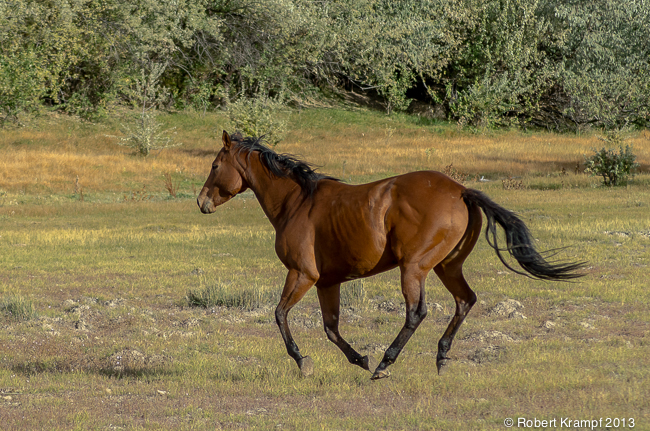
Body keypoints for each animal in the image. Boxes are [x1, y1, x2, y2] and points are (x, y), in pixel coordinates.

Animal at [197, 131, 584, 380]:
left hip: (413, 268)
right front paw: (359, 358)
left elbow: (280, 315)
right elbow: (331, 328)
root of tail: (462, 191)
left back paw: (386, 364)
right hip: (447, 266)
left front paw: (303, 361)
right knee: (465, 301)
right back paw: (440, 357)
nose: (201, 202)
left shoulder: (302, 274)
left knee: (417, 313)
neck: (297, 203)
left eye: (215, 166)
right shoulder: (327, 282)